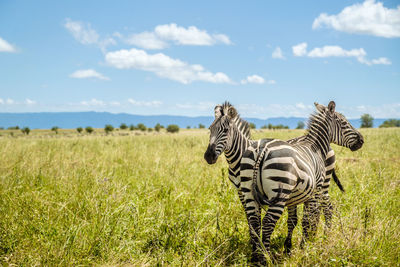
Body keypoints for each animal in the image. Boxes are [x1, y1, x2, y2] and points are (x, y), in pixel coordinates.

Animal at [238, 101, 366, 264]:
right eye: (344, 122)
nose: (361, 140)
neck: (317, 148)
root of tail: (262, 148)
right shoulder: (316, 189)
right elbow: (308, 219)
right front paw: (305, 246)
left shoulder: (295, 197)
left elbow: (295, 220)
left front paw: (293, 247)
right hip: (279, 193)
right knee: (268, 223)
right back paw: (266, 258)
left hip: (248, 191)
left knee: (254, 222)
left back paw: (255, 257)